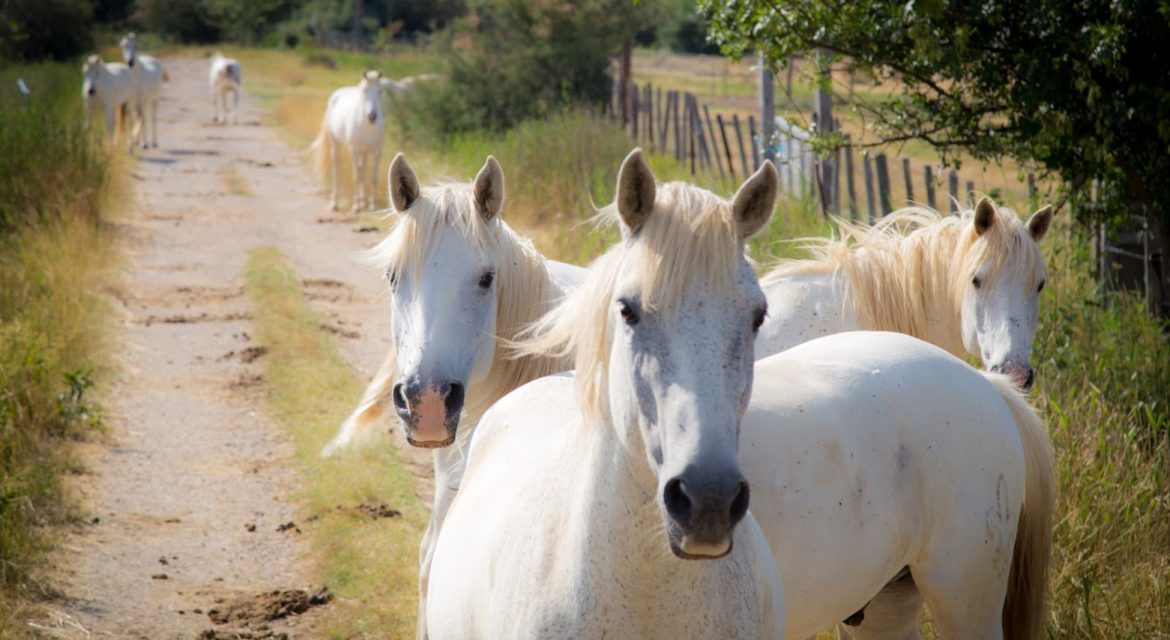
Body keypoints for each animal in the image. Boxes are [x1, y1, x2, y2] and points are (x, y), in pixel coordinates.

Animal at [308, 70, 386, 212]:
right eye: (365, 91)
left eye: (380, 91)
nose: (372, 116)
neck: (366, 125)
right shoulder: (354, 150)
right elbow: (355, 177)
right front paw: (356, 206)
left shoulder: (377, 151)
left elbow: (373, 177)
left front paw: (373, 205)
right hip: (336, 144)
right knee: (337, 170)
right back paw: (335, 203)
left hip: (363, 152)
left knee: (362, 170)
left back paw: (363, 202)